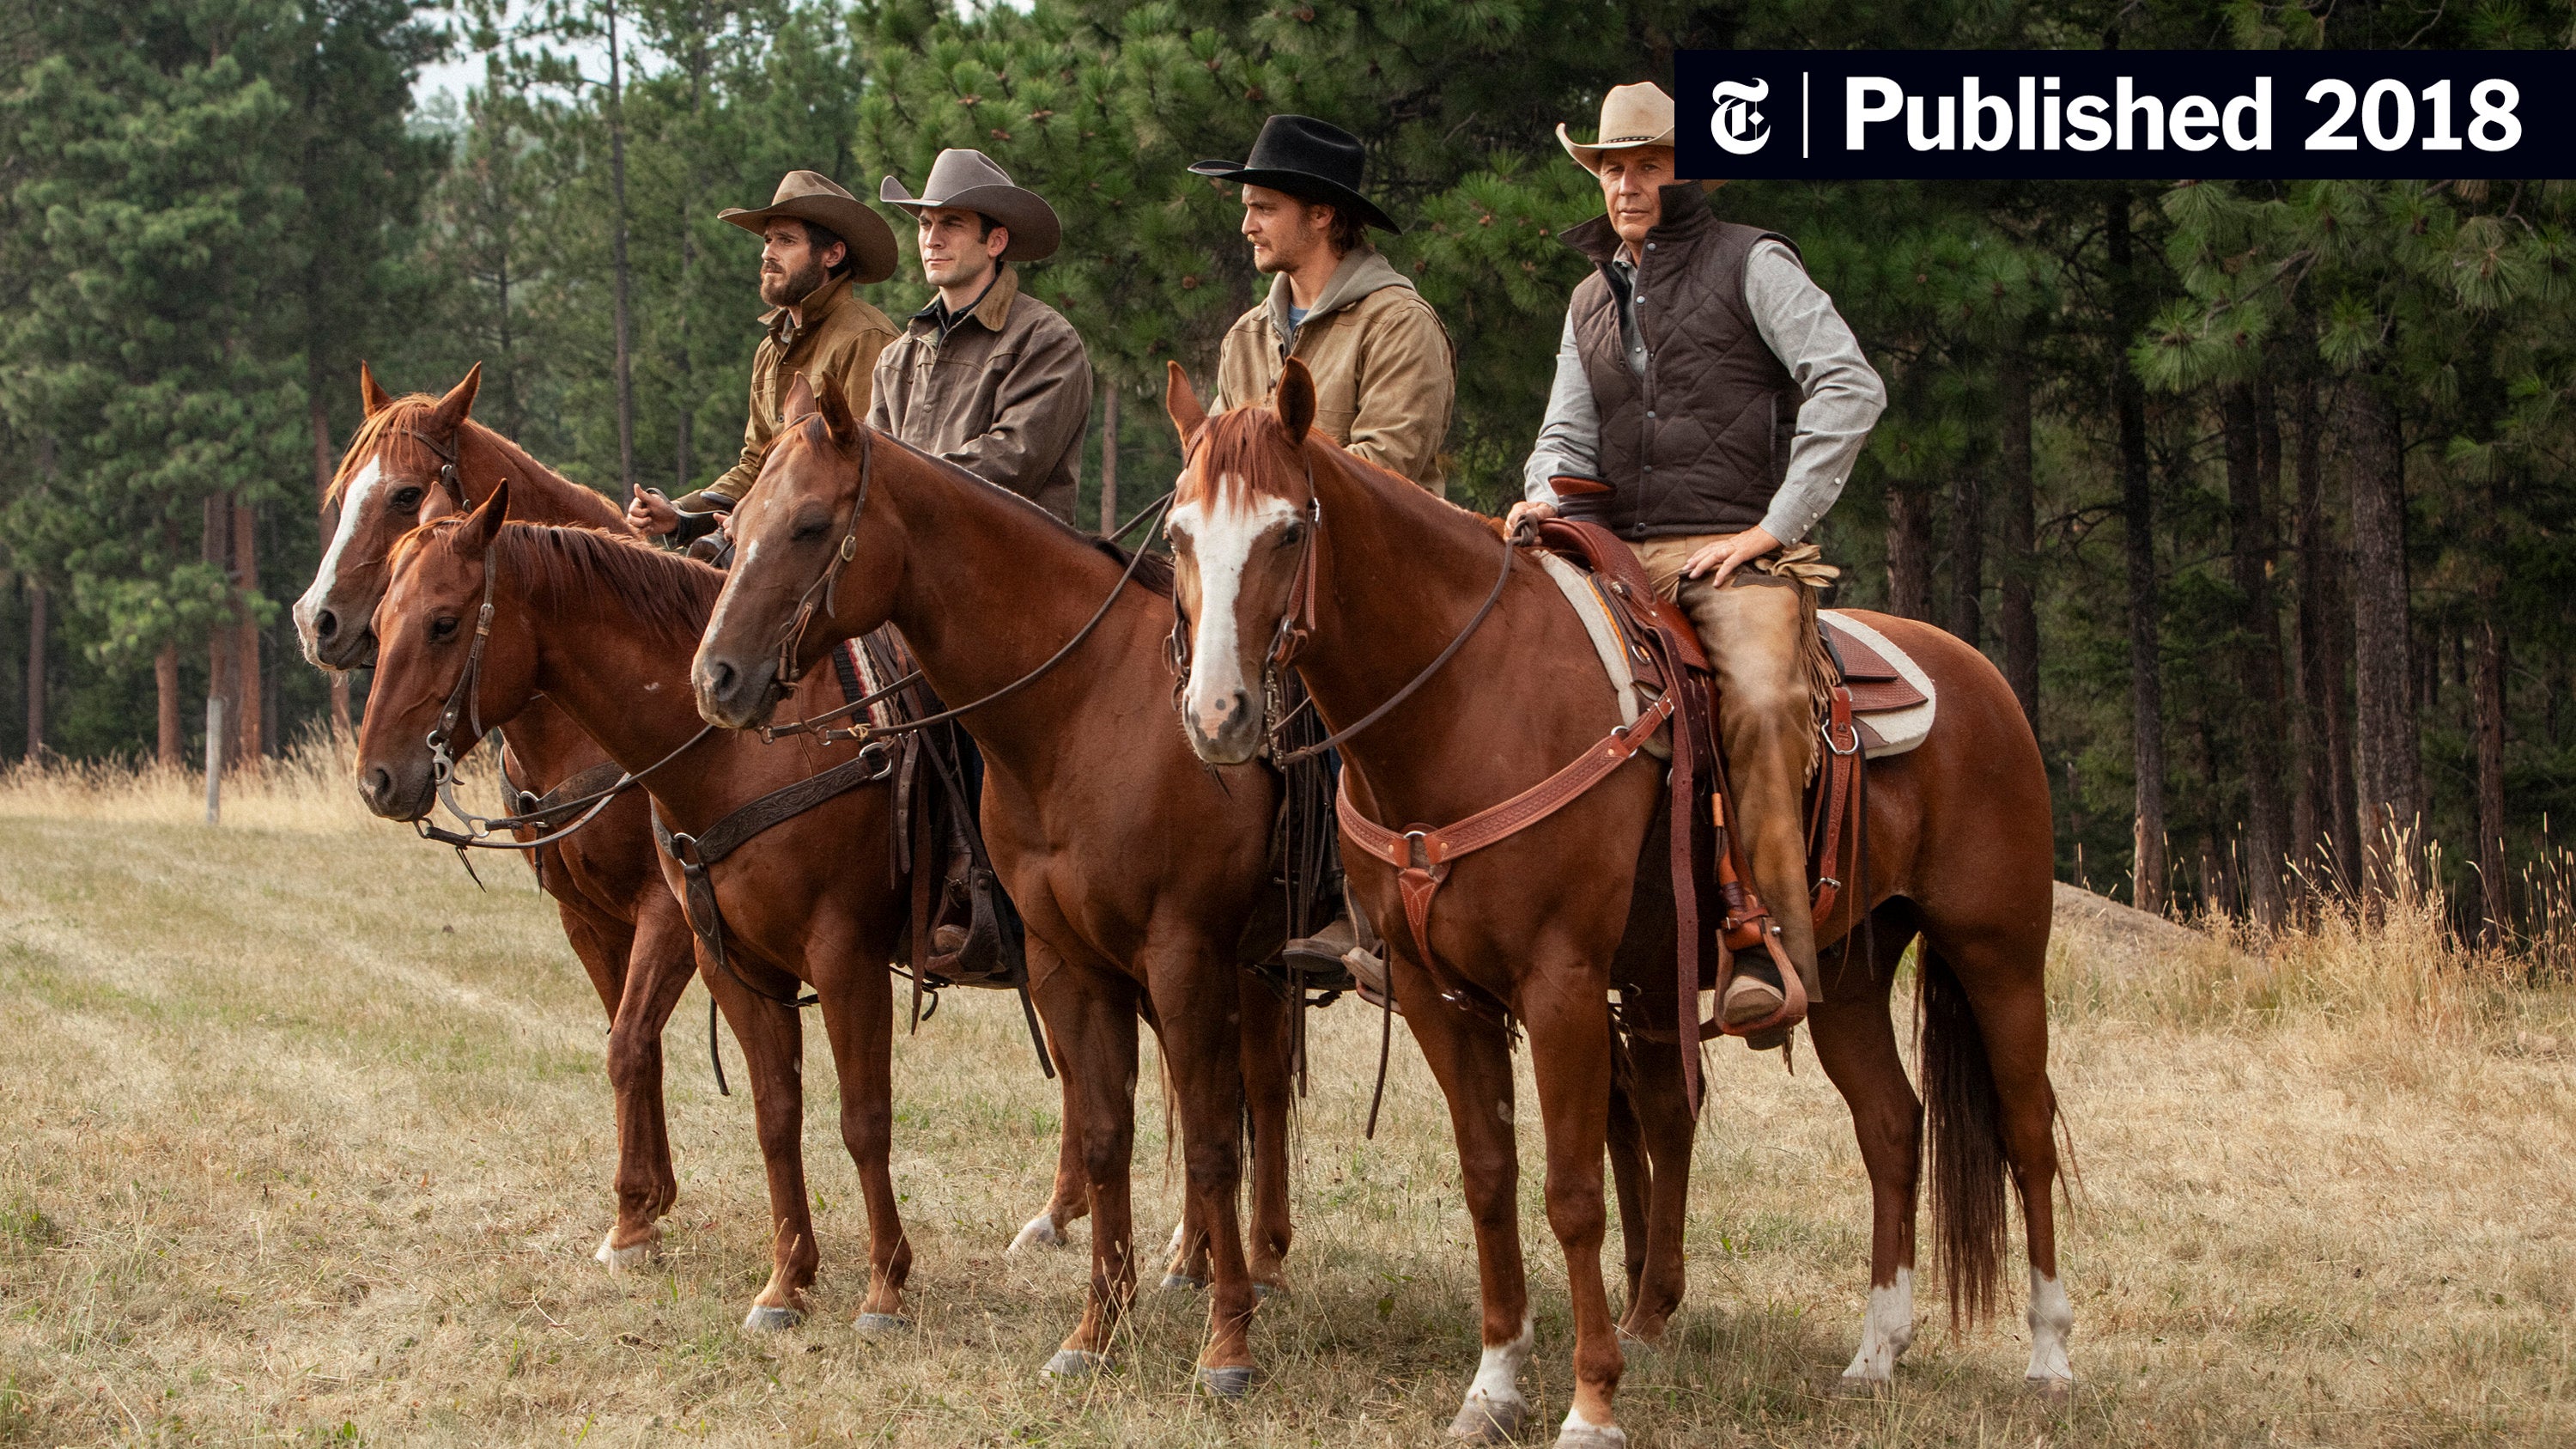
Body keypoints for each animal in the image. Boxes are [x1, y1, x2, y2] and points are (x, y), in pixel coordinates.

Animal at [295, 366, 706, 1268]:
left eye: (404, 493)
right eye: (339, 495)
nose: (316, 620)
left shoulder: (671, 907)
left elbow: (630, 1040)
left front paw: (632, 1218)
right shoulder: (585, 913)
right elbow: (631, 1039)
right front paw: (650, 1199)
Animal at [355, 479, 927, 1330]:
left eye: (444, 622)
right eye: (381, 624)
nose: (377, 779)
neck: (748, 744)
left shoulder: (825, 951)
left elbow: (853, 1112)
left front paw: (881, 1282)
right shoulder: (659, 936)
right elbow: (738, 1093)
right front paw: (665, 1222)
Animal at [690, 379, 1298, 1391]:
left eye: (811, 524)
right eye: (735, 528)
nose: (717, 678)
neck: (1090, 705)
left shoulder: (1184, 954)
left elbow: (1213, 1140)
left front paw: (1229, 1345)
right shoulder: (1070, 961)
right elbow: (1107, 1132)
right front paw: (1097, 1329)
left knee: (1256, 1098)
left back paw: (1259, 1267)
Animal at [1170, 358, 2071, 1433]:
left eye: (1289, 530)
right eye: (1178, 534)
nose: (1217, 716)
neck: (1467, 701)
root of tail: (1983, 679)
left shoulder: (1561, 984)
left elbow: (1573, 1190)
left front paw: (1592, 1399)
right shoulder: (1439, 996)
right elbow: (1490, 1179)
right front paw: (1494, 1386)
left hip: (1997, 954)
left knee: (2027, 1129)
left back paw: (2050, 1357)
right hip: (1846, 972)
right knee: (1893, 1126)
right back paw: (1876, 1352)